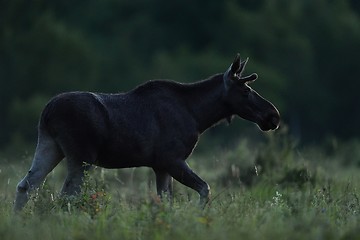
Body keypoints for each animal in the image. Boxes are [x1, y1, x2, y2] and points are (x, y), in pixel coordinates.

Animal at [14, 53, 280, 211]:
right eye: (245, 91)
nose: (273, 115)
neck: (199, 116)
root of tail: (47, 111)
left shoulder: (160, 166)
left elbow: (165, 202)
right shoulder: (172, 159)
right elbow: (205, 188)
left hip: (50, 145)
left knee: (26, 185)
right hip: (81, 156)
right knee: (67, 195)